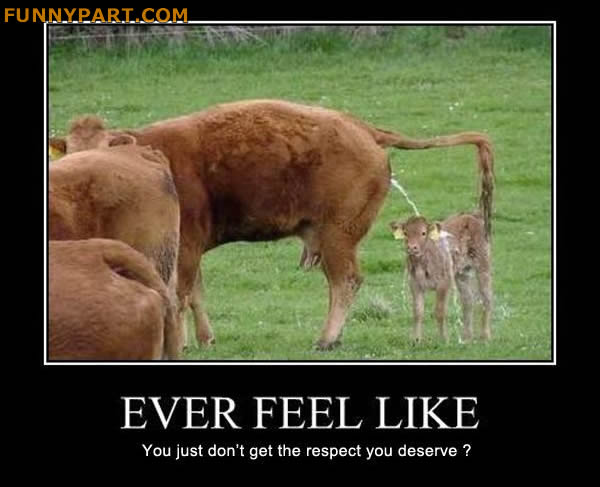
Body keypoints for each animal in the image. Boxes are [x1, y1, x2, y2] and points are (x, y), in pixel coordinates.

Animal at [389, 213, 493, 343]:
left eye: (423, 233)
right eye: (406, 233)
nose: (412, 248)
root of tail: (471, 216)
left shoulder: (444, 282)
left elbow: (440, 311)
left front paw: (443, 339)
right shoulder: (414, 283)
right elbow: (417, 312)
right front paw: (416, 340)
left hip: (483, 263)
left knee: (486, 297)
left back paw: (485, 335)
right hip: (462, 273)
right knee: (468, 300)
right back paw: (467, 336)